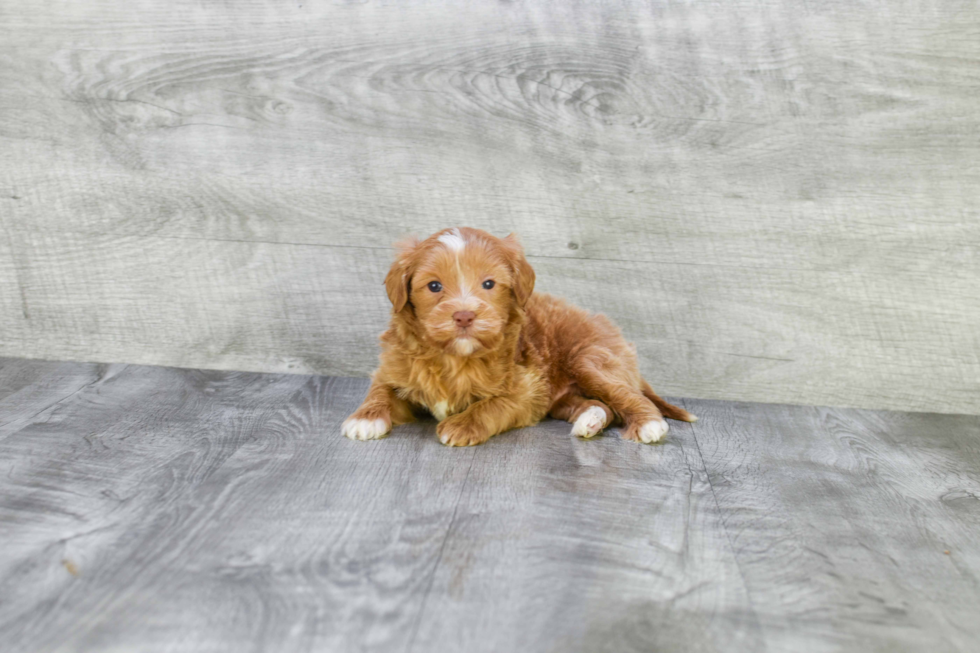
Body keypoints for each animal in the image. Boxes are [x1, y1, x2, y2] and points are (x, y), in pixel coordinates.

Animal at [344, 227, 696, 446]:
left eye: (488, 284)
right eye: (433, 286)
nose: (464, 315)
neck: (453, 356)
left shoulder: (527, 389)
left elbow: (493, 404)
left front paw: (461, 425)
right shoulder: (394, 365)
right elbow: (380, 389)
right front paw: (365, 417)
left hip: (589, 359)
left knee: (626, 395)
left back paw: (649, 425)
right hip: (563, 397)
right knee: (599, 405)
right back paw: (590, 421)